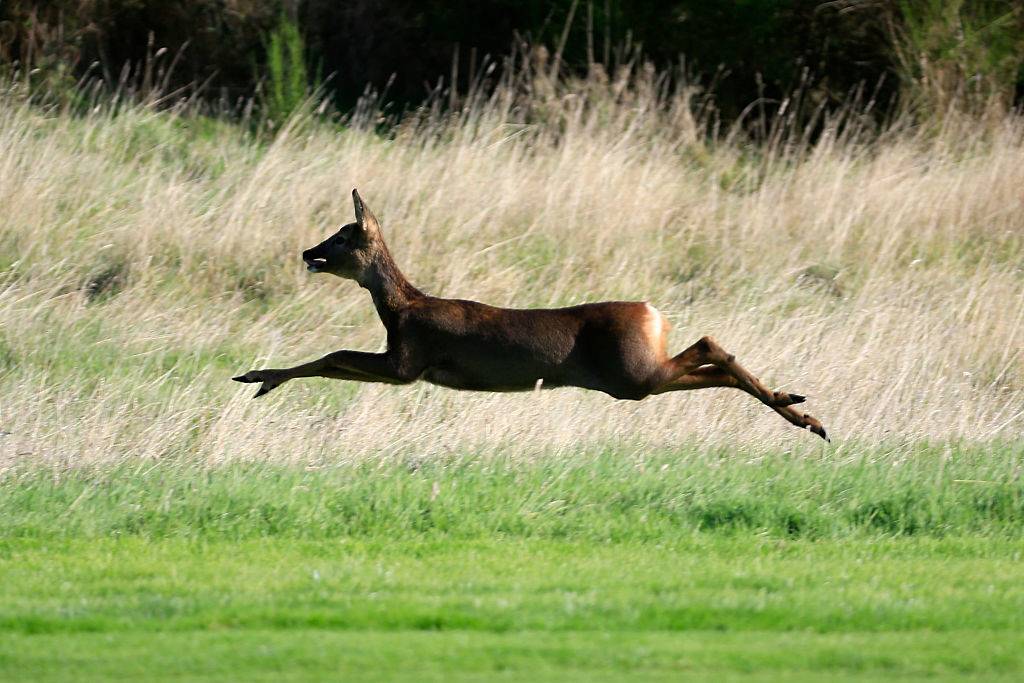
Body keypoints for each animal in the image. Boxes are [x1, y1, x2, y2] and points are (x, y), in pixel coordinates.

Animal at [234, 190, 828, 441]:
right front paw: (259, 378)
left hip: (632, 373)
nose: (307, 252)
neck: (401, 308)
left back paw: (803, 414)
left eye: (342, 236)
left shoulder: (409, 361)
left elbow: (335, 354)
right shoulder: (405, 363)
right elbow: (335, 359)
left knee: (709, 346)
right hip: (633, 375)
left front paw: (258, 376)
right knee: (710, 361)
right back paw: (800, 409)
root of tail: (653, 312)